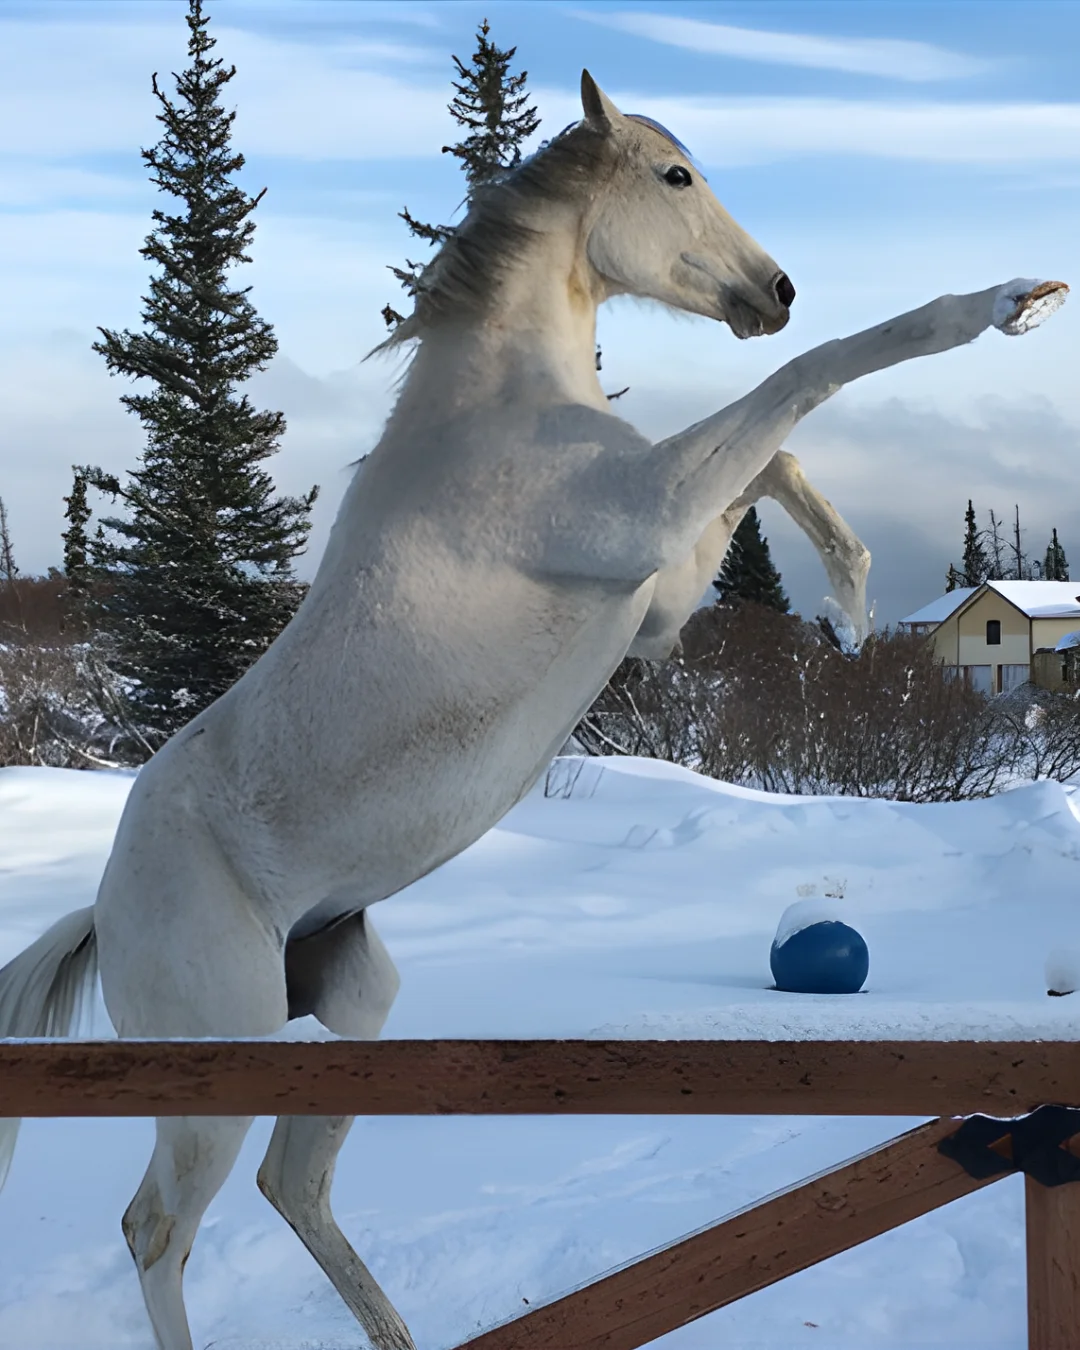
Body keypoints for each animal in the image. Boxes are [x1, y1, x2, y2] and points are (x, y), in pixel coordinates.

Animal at [0, 71, 1066, 1350]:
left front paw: (850, 608)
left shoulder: (658, 587)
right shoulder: (644, 515)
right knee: (157, 1228)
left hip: (351, 1007)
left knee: (290, 1184)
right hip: (222, 1051)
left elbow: (777, 458)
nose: (774, 290)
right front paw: (1007, 304)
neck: (498, 408)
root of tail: (108, 910)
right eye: (675, 176)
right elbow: (804, 380)